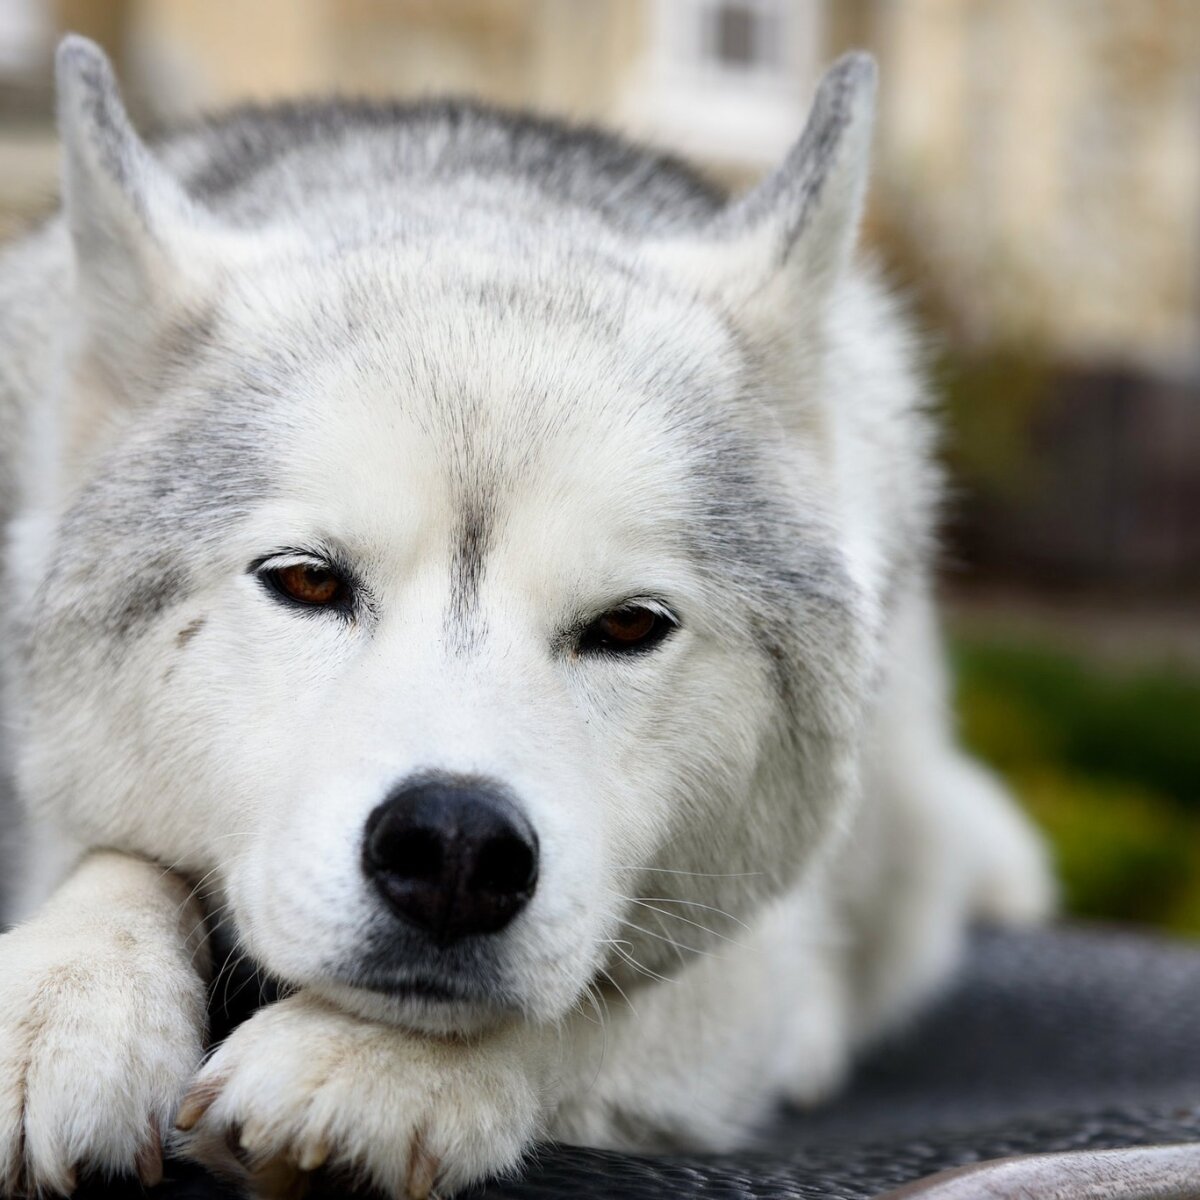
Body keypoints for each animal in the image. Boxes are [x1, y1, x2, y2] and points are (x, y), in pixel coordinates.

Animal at [0, 37, 1051, 1200]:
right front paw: (62, 1005)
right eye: (307, 582)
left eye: (629, 626)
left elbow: (599, 1001)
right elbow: (118, 863)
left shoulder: (730, 959)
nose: (455, 848)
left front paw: (373, 1065)